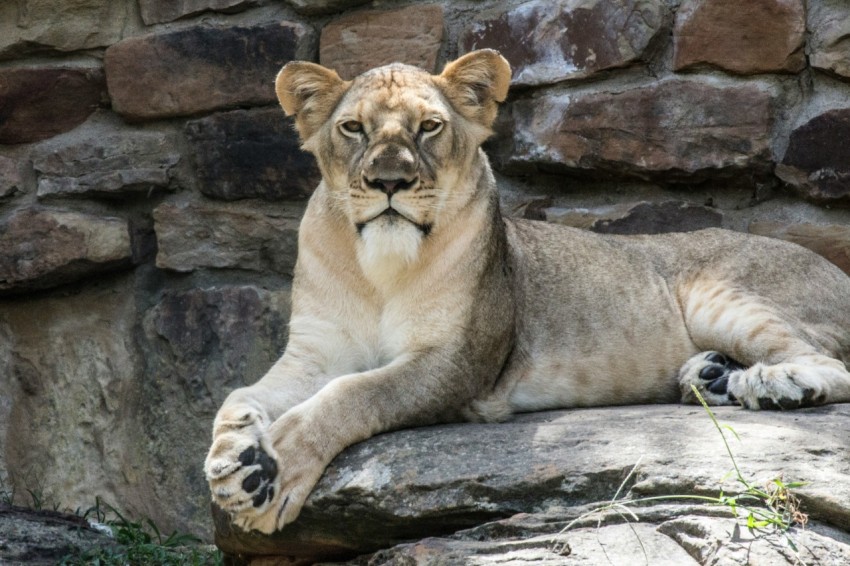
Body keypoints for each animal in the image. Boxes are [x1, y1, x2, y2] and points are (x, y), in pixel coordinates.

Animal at [205, 49, 850, 534]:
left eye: (429, 127)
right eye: (352, 128)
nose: (390, 181)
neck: (377, 267)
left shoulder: (458, 363)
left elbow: (356, 393)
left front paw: (280, 463)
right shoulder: (313, 353)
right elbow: (243, 394)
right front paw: (236, 465)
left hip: (717, 294)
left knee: (829, 364)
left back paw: (772, 384)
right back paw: (713, 376)